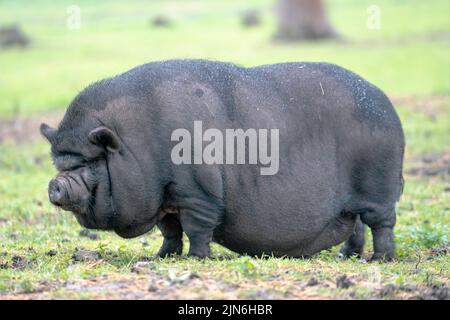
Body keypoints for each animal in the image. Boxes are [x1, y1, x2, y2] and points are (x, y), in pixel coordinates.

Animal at [41, 59, 404, 260]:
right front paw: (162, 257)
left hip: (378, 187)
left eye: (89, 164)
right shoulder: (163, 198)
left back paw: (380, 259)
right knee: (356, 226)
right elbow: (169, 230)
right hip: (349, 204)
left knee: (381, 223)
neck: (136, 145)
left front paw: (196, 259)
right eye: (60, 164)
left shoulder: (196, 191)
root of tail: (388, 105)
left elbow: (197, 226)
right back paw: (346, 257)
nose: (55, 184)